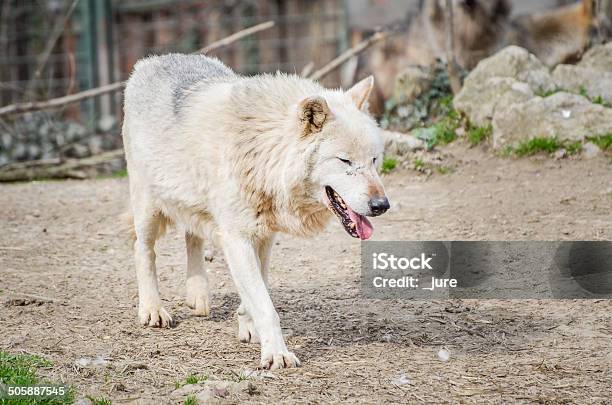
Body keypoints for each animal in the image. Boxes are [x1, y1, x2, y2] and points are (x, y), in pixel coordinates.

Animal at [122, 54, 390, 370]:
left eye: (374, 160)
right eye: (345, 160)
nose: (381, 205)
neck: (263, 151)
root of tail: (150, 61)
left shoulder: (264, 236)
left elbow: (258, 288)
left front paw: (247, 325)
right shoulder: (237, 238)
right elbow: (266, 306)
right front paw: (276, 354)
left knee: (192, 237)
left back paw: (197, 296)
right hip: (148, 207)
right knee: (143, 250)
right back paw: (152, 310)